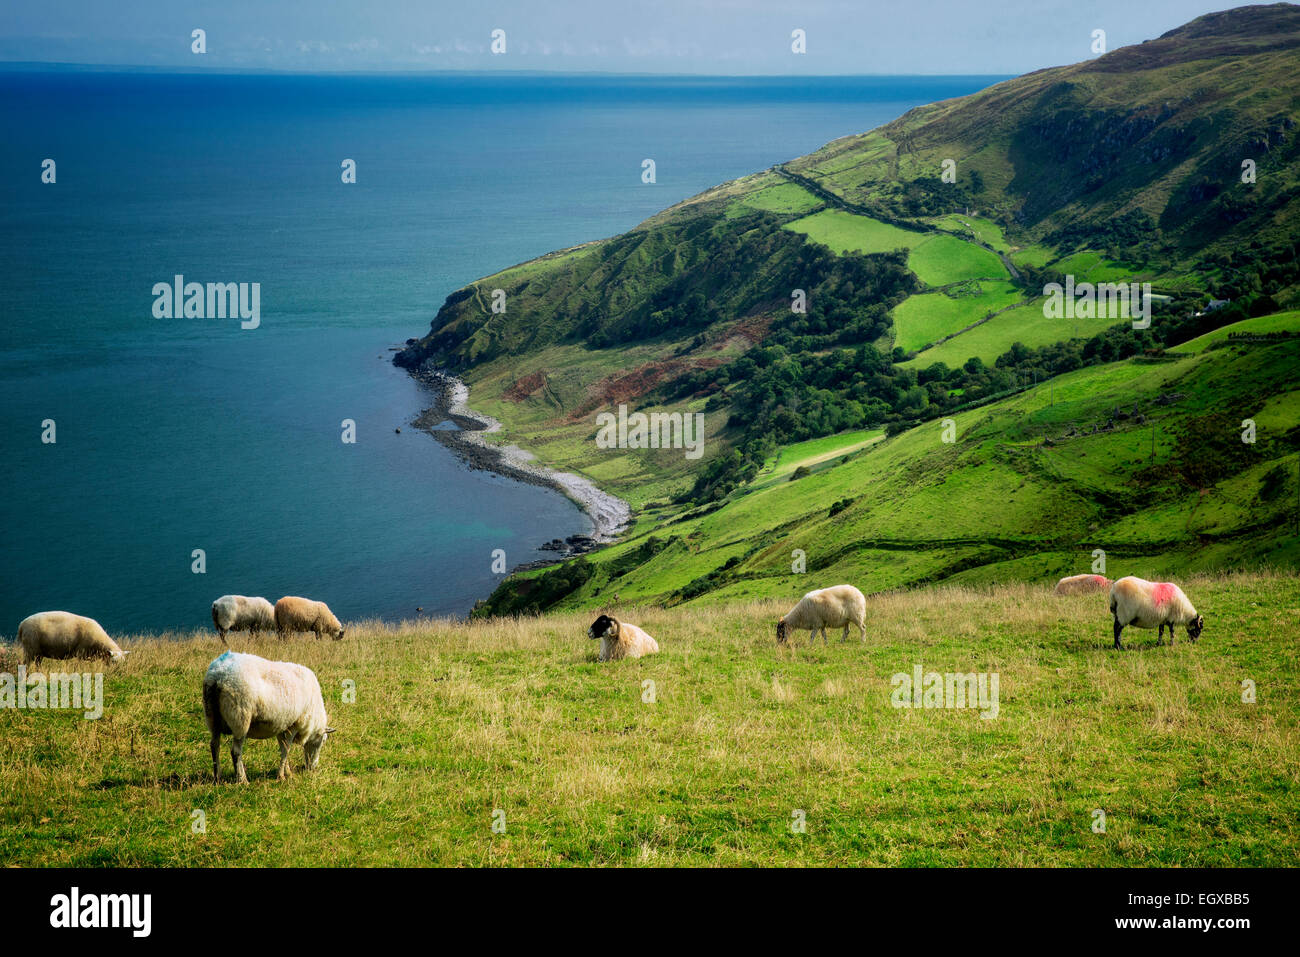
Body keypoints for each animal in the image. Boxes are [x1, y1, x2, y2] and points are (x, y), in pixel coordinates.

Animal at [201, 650, 332, 785]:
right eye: (323, 741)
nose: (312, 768)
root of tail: (218, 673)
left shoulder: (282, 726)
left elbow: (283, 748)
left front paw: (287, 772)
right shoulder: (294, 725)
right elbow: (286, 750)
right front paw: (281, 776)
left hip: (211, 716)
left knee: (214, 745)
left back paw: (217, 777)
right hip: (240, 718)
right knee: (235, 751)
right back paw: (243, 780)